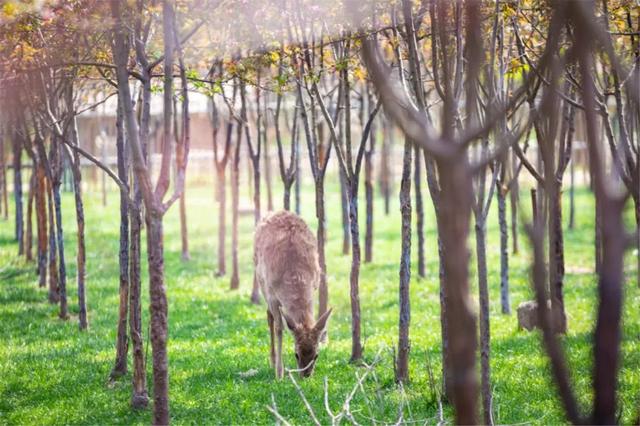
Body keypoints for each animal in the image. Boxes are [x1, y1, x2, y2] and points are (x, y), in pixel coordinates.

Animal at [255, 211, 336, 378]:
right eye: (296, 354)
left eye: (316, 355)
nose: (306, 375)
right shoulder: (272, 294)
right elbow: (279, 327)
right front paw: (279, 373)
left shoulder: (315, 284)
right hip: (261, 282)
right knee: (269, 316)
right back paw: (272, 360)